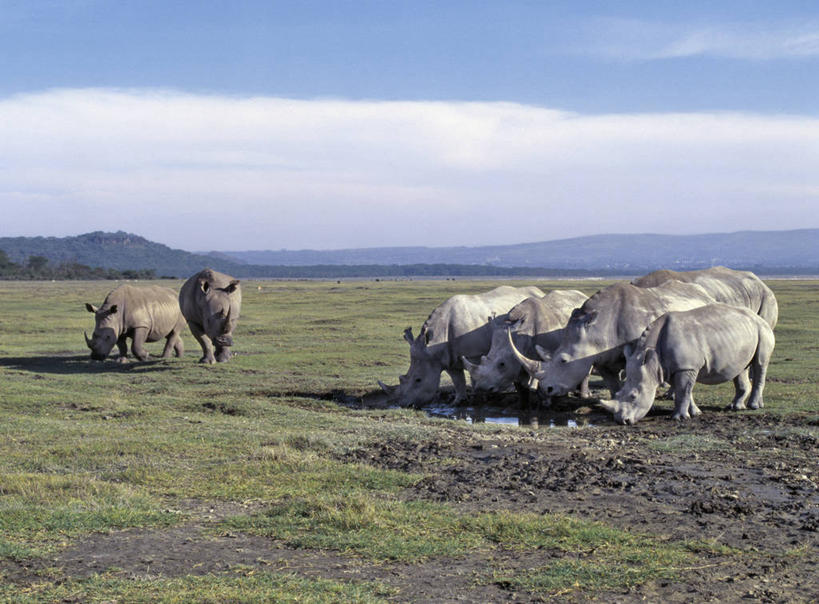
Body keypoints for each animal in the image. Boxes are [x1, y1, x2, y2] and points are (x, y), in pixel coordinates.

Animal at [378, 286, 544, 408]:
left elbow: (474, 375)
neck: (433, 345)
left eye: (418, 380)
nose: (404, 405)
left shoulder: (475, 353)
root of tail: (539, 292)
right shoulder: (447, 358)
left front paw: (479, 397)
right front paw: (458, 402)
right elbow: (458, 380)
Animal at [510, 280, 716, 398]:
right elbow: (613, 384)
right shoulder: (601, 358)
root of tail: (706, 294)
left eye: (563, 360)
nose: (547, 390)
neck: (596, 329)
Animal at [604, 304, 776, 422]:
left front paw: (679, 418)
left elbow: (683, 390)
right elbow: (685, 391)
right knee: (741, 369)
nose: (621, 420)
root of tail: (759, 318)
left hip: (763, 330)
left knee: (760, 364)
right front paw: (695, 413)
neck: (651, 362)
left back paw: (753, 406)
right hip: (745, 333)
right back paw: (735, 407)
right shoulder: (674, 368)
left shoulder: (686, 367)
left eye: (634, 396)